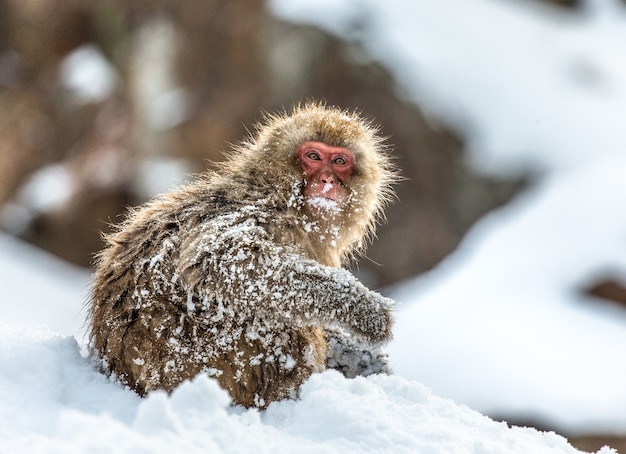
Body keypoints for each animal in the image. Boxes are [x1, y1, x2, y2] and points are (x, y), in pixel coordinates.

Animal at [88, 103, 394, 408]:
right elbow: (219, 256)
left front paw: (359, 357)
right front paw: (364, 309)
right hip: (202, 363)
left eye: (340, 161)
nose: (327, 179)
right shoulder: (261, 213)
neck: (282, 196)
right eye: (314, 156)